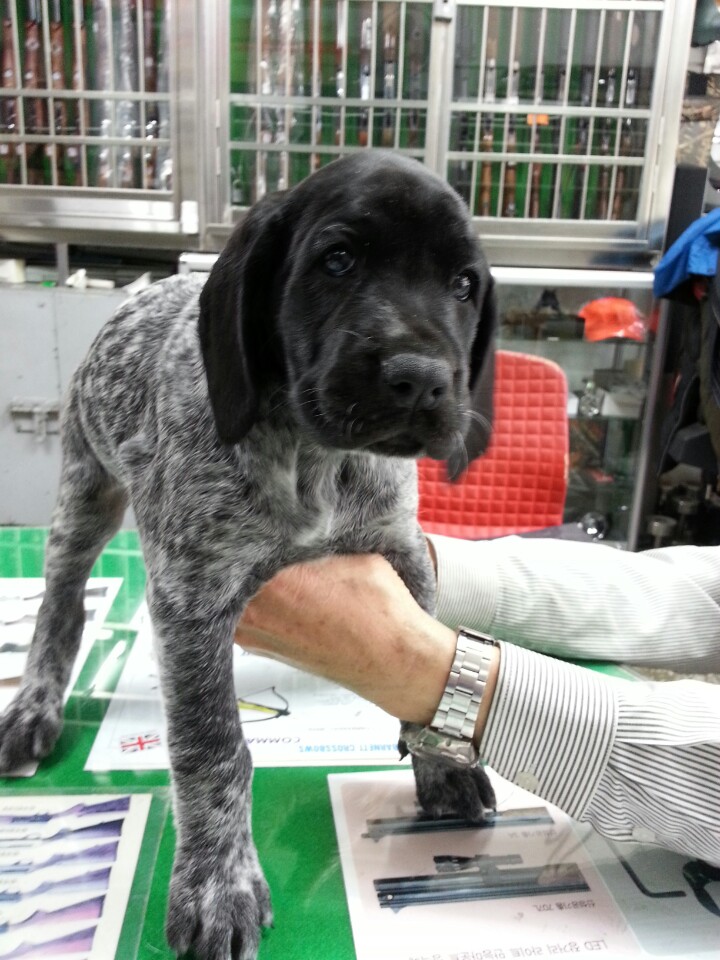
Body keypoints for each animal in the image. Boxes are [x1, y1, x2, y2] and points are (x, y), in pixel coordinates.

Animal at [0, 152, 497, 960]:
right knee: (61, 604)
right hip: (84, 492)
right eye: (338, 260)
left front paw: (441, 764)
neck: (316, 459)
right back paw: (33, 706)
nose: (421, 378)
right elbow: (213, 747)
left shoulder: (402, 548)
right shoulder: (192, 594)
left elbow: (430, 663)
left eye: (464, 285)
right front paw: (216, 884)